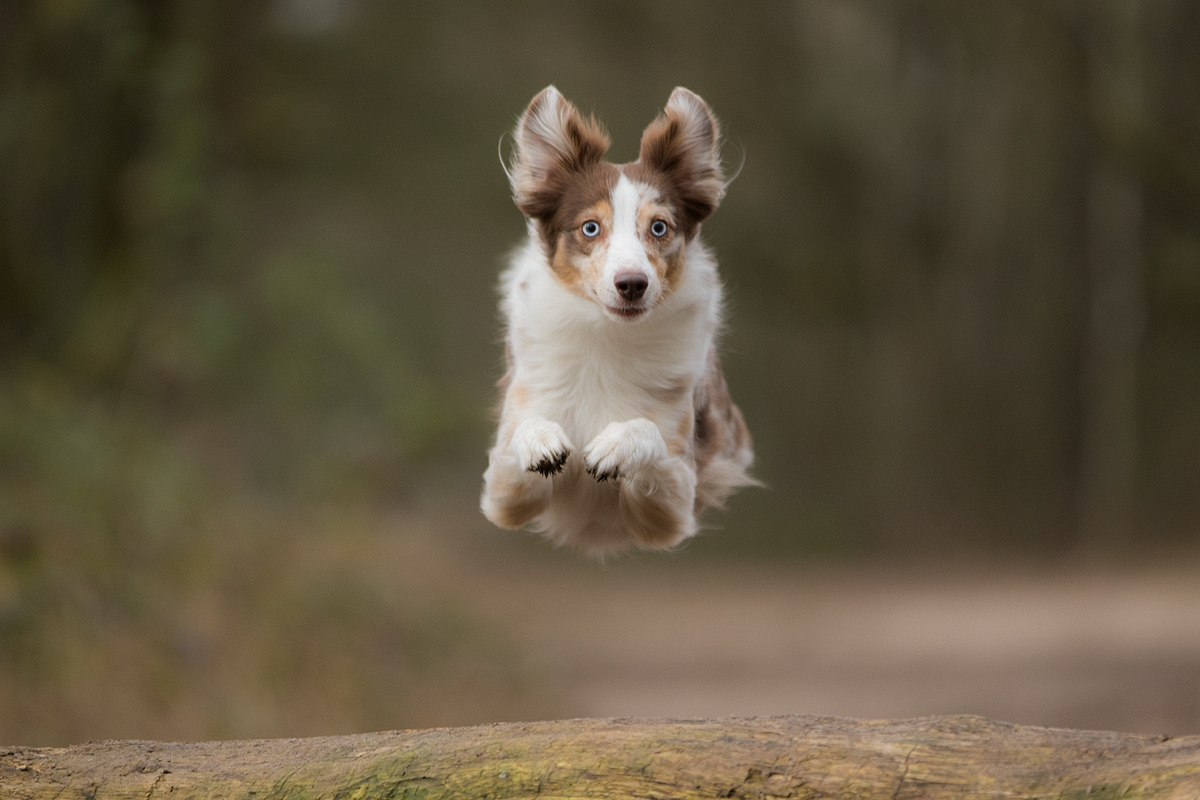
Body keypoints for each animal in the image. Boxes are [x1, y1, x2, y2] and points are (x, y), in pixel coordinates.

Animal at [477, 84, 748, 554]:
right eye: (590, 228)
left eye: (659, 228)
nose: (632, 284)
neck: (607, 336)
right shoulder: (501, 493)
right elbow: (522, 441)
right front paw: (541, 440)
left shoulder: (672, 509)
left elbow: (647, 433)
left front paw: (616, 445)